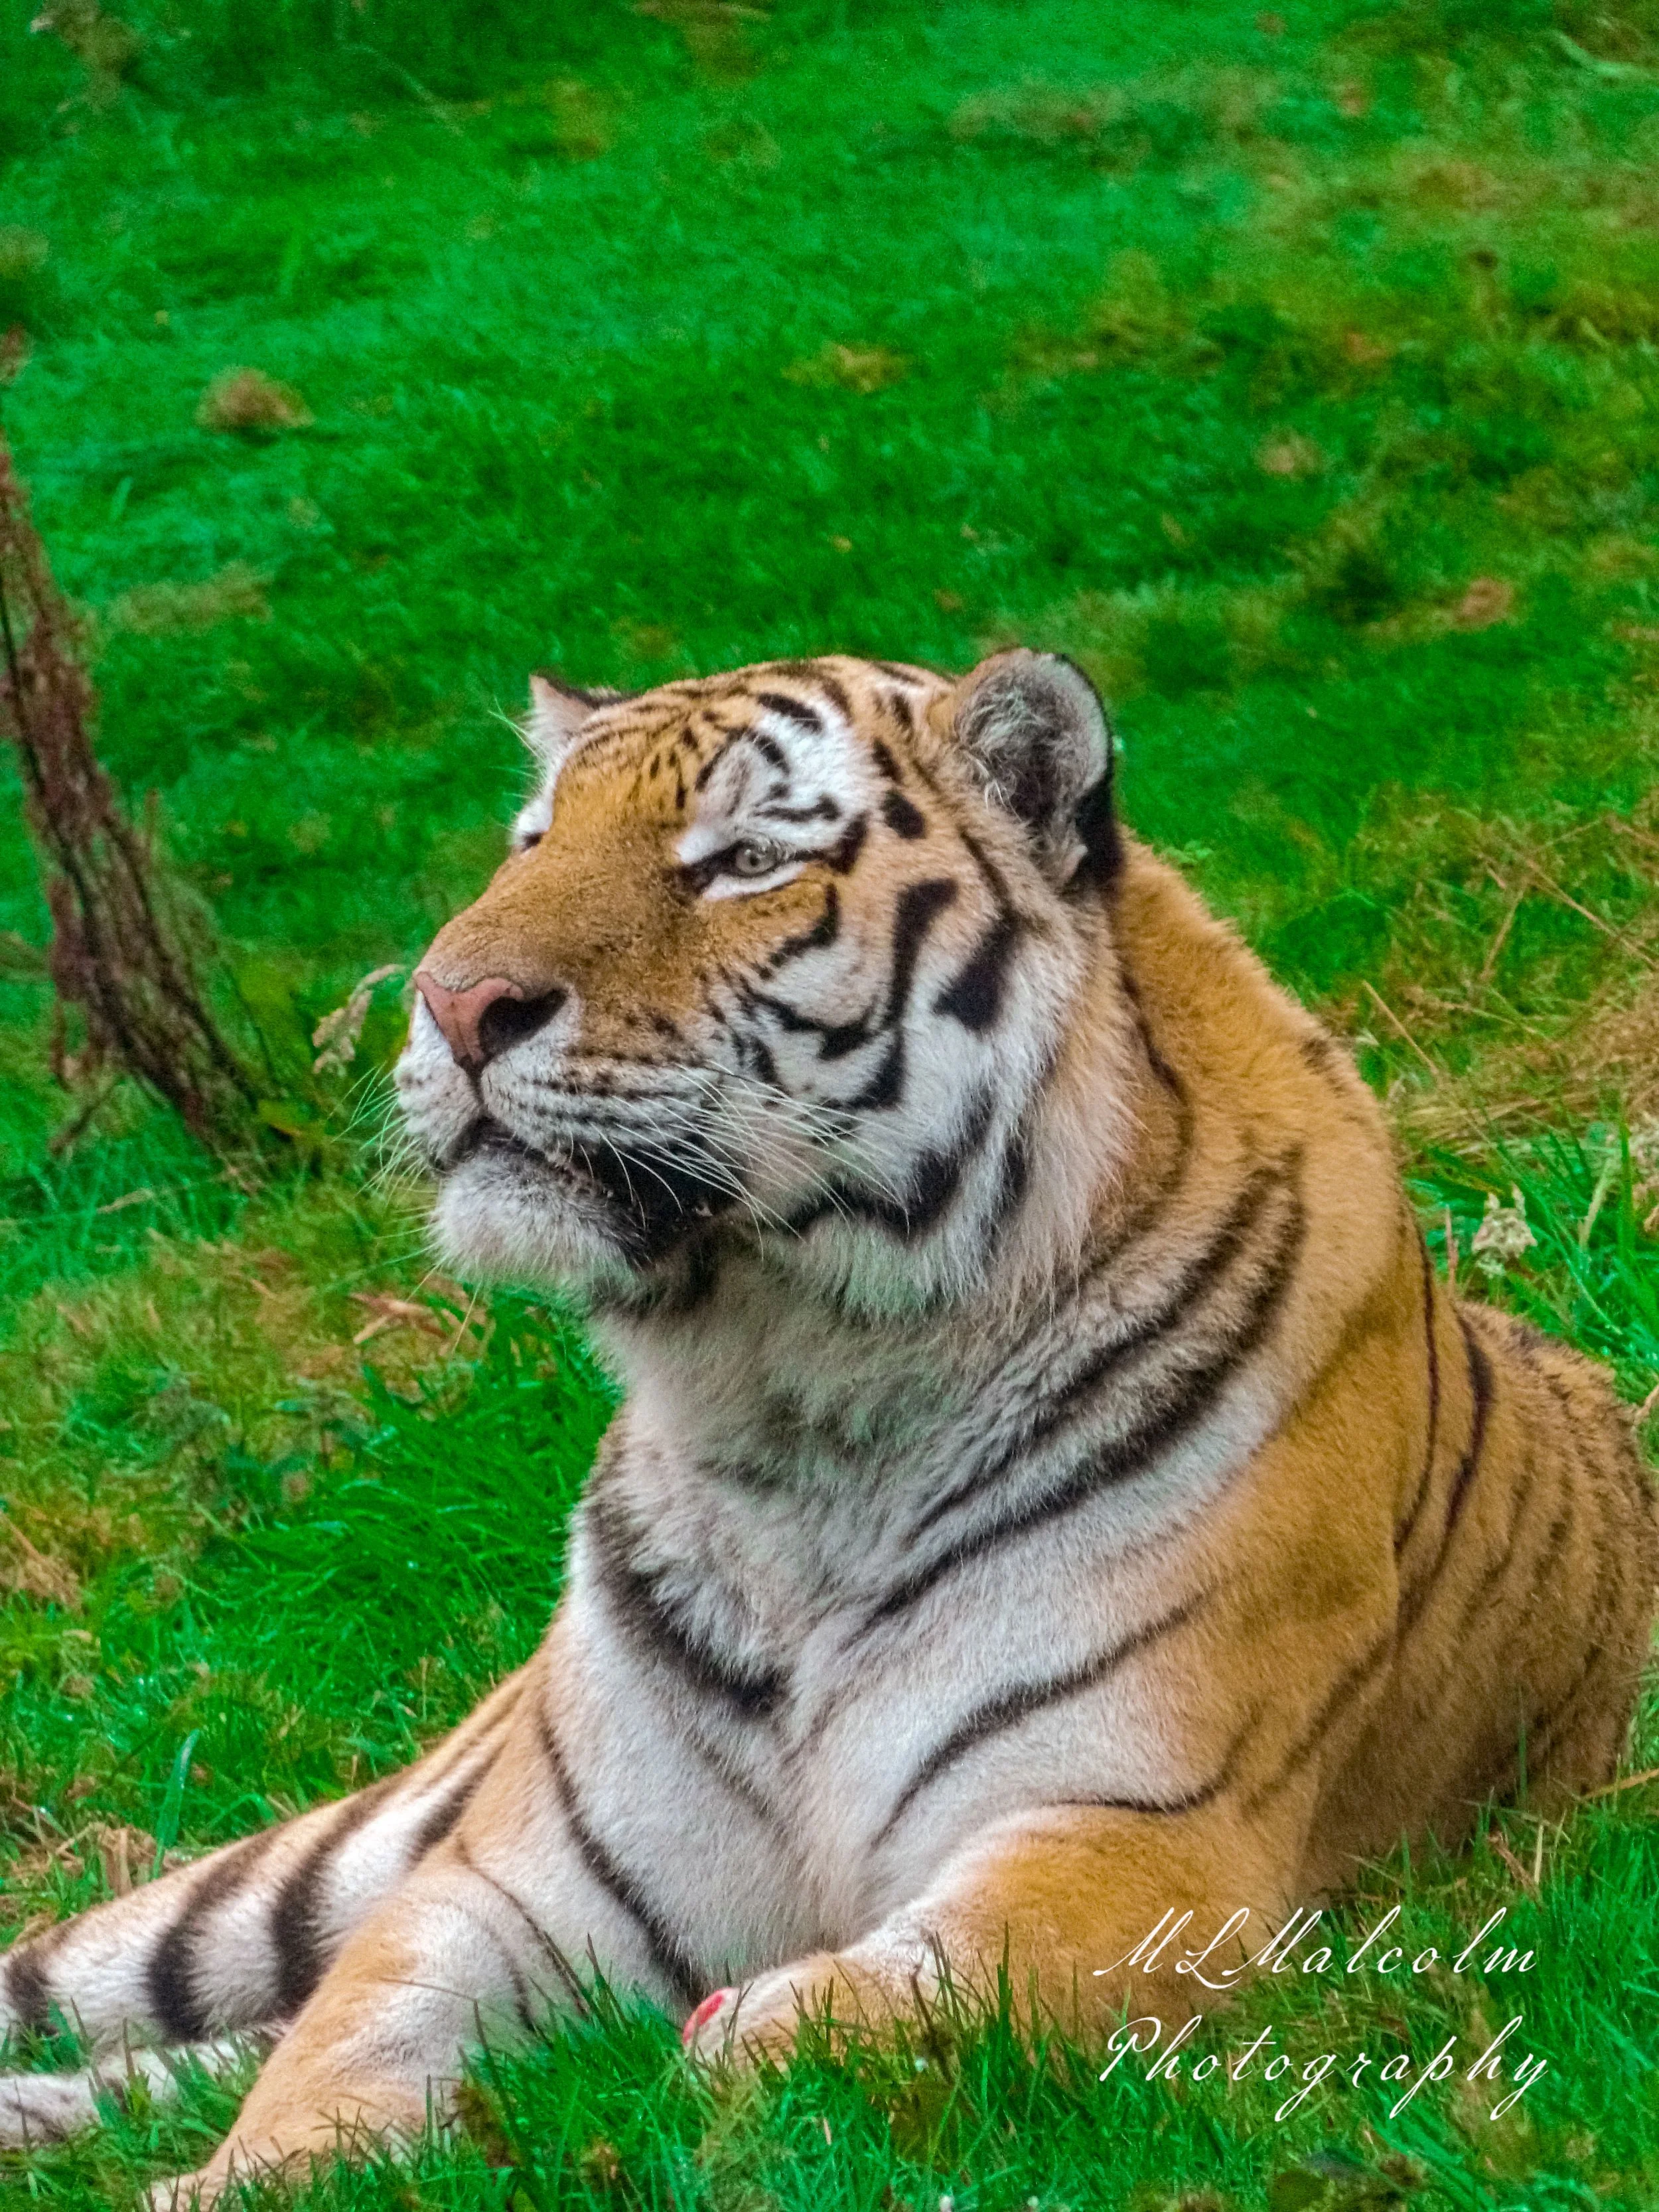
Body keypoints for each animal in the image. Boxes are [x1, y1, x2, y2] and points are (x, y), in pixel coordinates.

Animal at [0, 649, 1652, 2206]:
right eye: (531, 841)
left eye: (740, 862)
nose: (452, 1001)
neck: (789, 1404)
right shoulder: (504, 1884)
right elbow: (345, 2034)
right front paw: (253, 2172)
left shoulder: (1150, 1828)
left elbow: (863, 2012)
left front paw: (674, 2083)